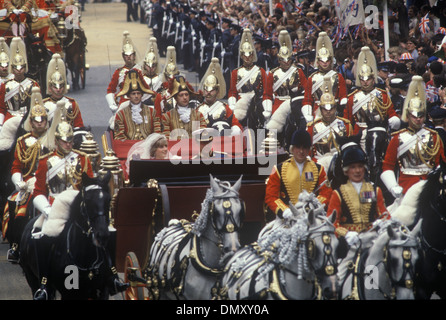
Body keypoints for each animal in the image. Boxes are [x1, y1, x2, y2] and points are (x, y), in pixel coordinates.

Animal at [19, 172, 113, 300]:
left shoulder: (102, 290)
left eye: (109, 199)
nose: (102, 235)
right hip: (32, 279)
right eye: (87, 199)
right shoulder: (68, 293)